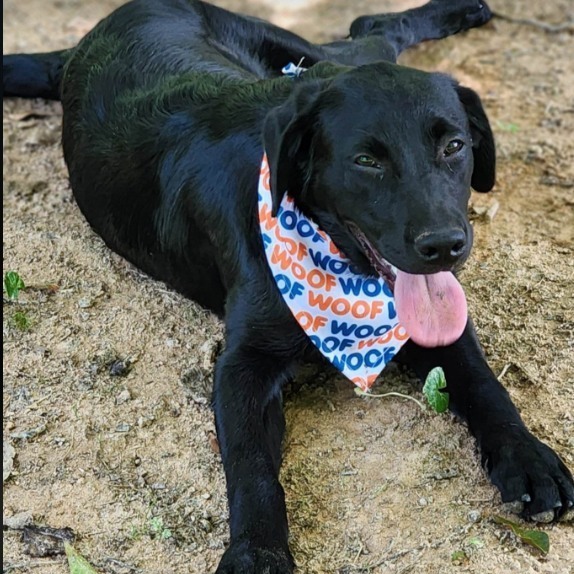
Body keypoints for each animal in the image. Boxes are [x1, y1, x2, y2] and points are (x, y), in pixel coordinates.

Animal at [2, 0, 572, 572]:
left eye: (455, 146)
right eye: (366, 160)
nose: (445, 245)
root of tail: (90, 37)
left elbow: (484, 384)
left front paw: (528, 457)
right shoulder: (242, 364)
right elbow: (251, 465)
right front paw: (257, 549)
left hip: (304, 58)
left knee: (373, 28)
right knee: (370, 28)